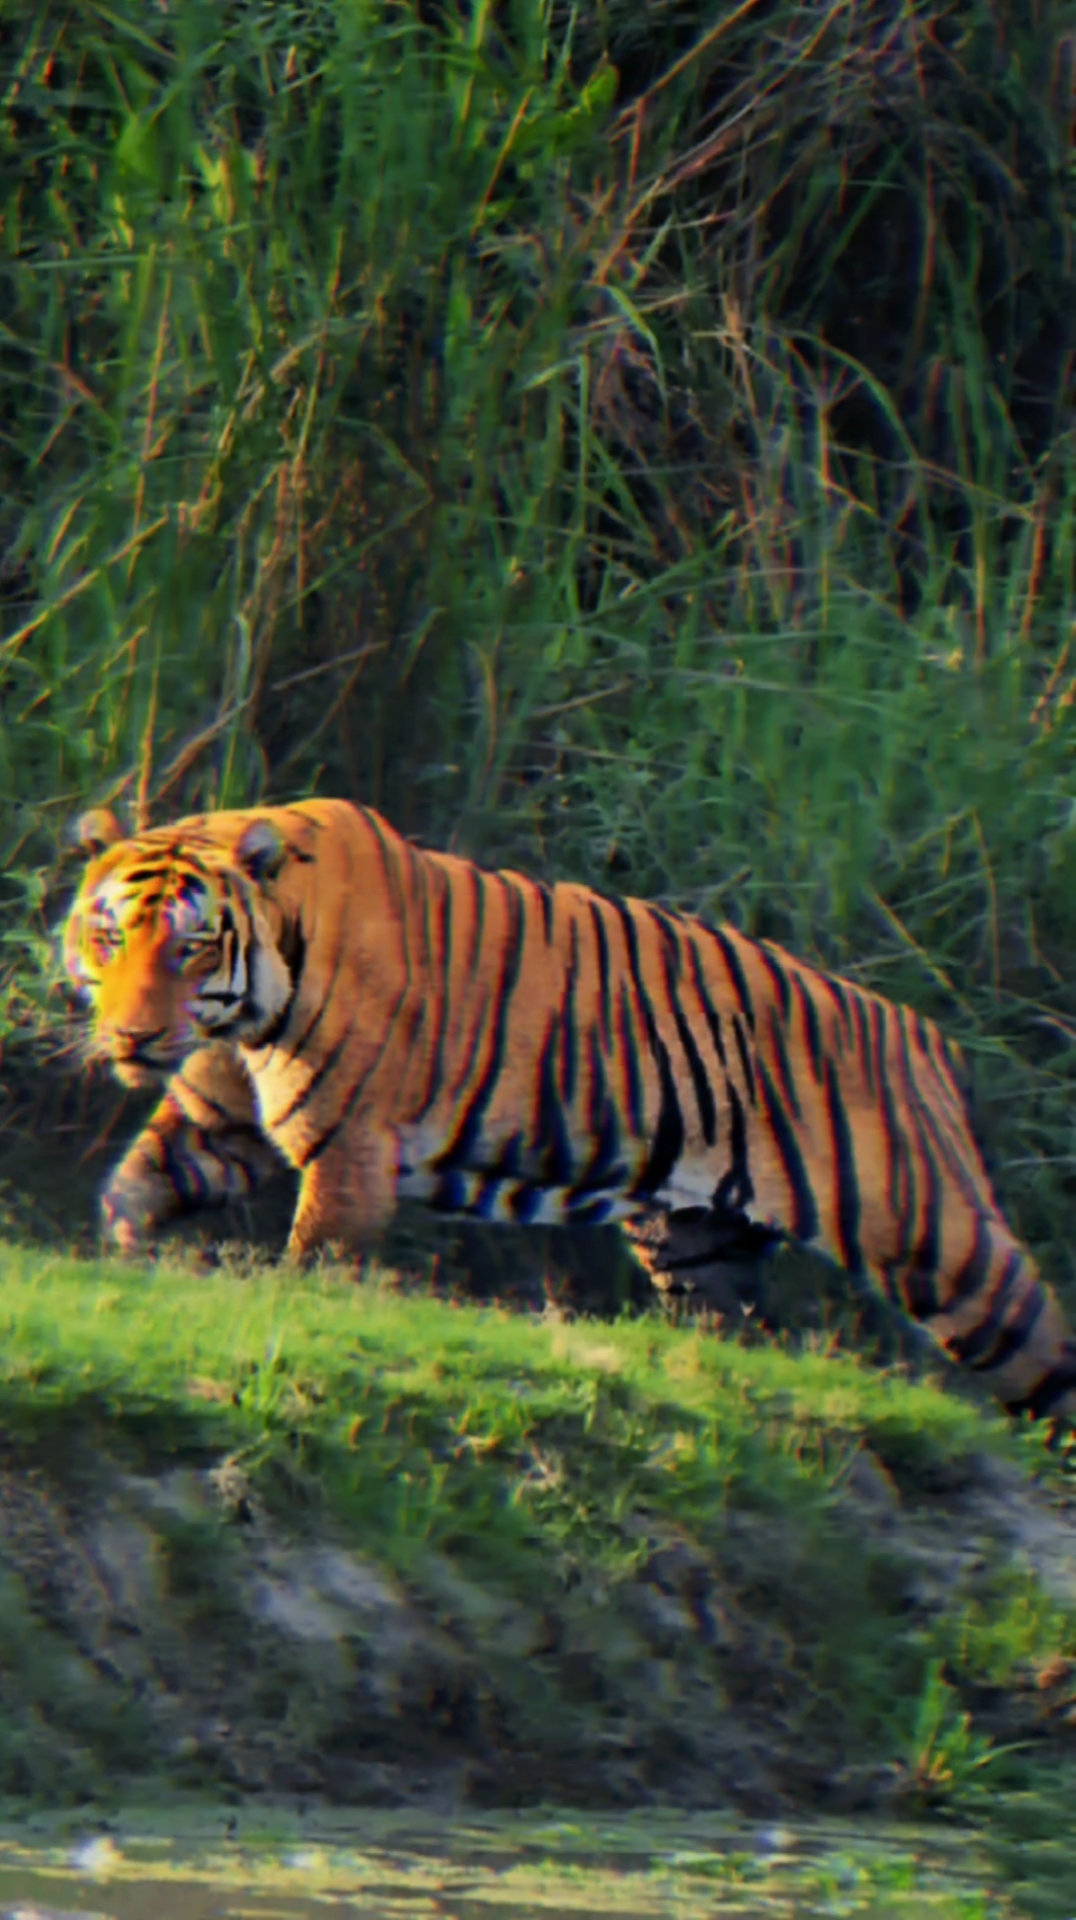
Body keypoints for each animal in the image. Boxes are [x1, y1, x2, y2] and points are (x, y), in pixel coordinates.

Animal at [62, 794, 1076, 1428]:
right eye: (111, 937)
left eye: (192, 948)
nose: (129, 1036)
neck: (244, 1016)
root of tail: (925, 1037)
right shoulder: (216, 1119)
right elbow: (134, 1186)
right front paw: (119, 1267)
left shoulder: (350, 1150)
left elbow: (315, 1259)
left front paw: (295, 1314)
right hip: (695, 1243)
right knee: (738, 1325)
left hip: (939, 1245)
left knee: (1042, 1344)